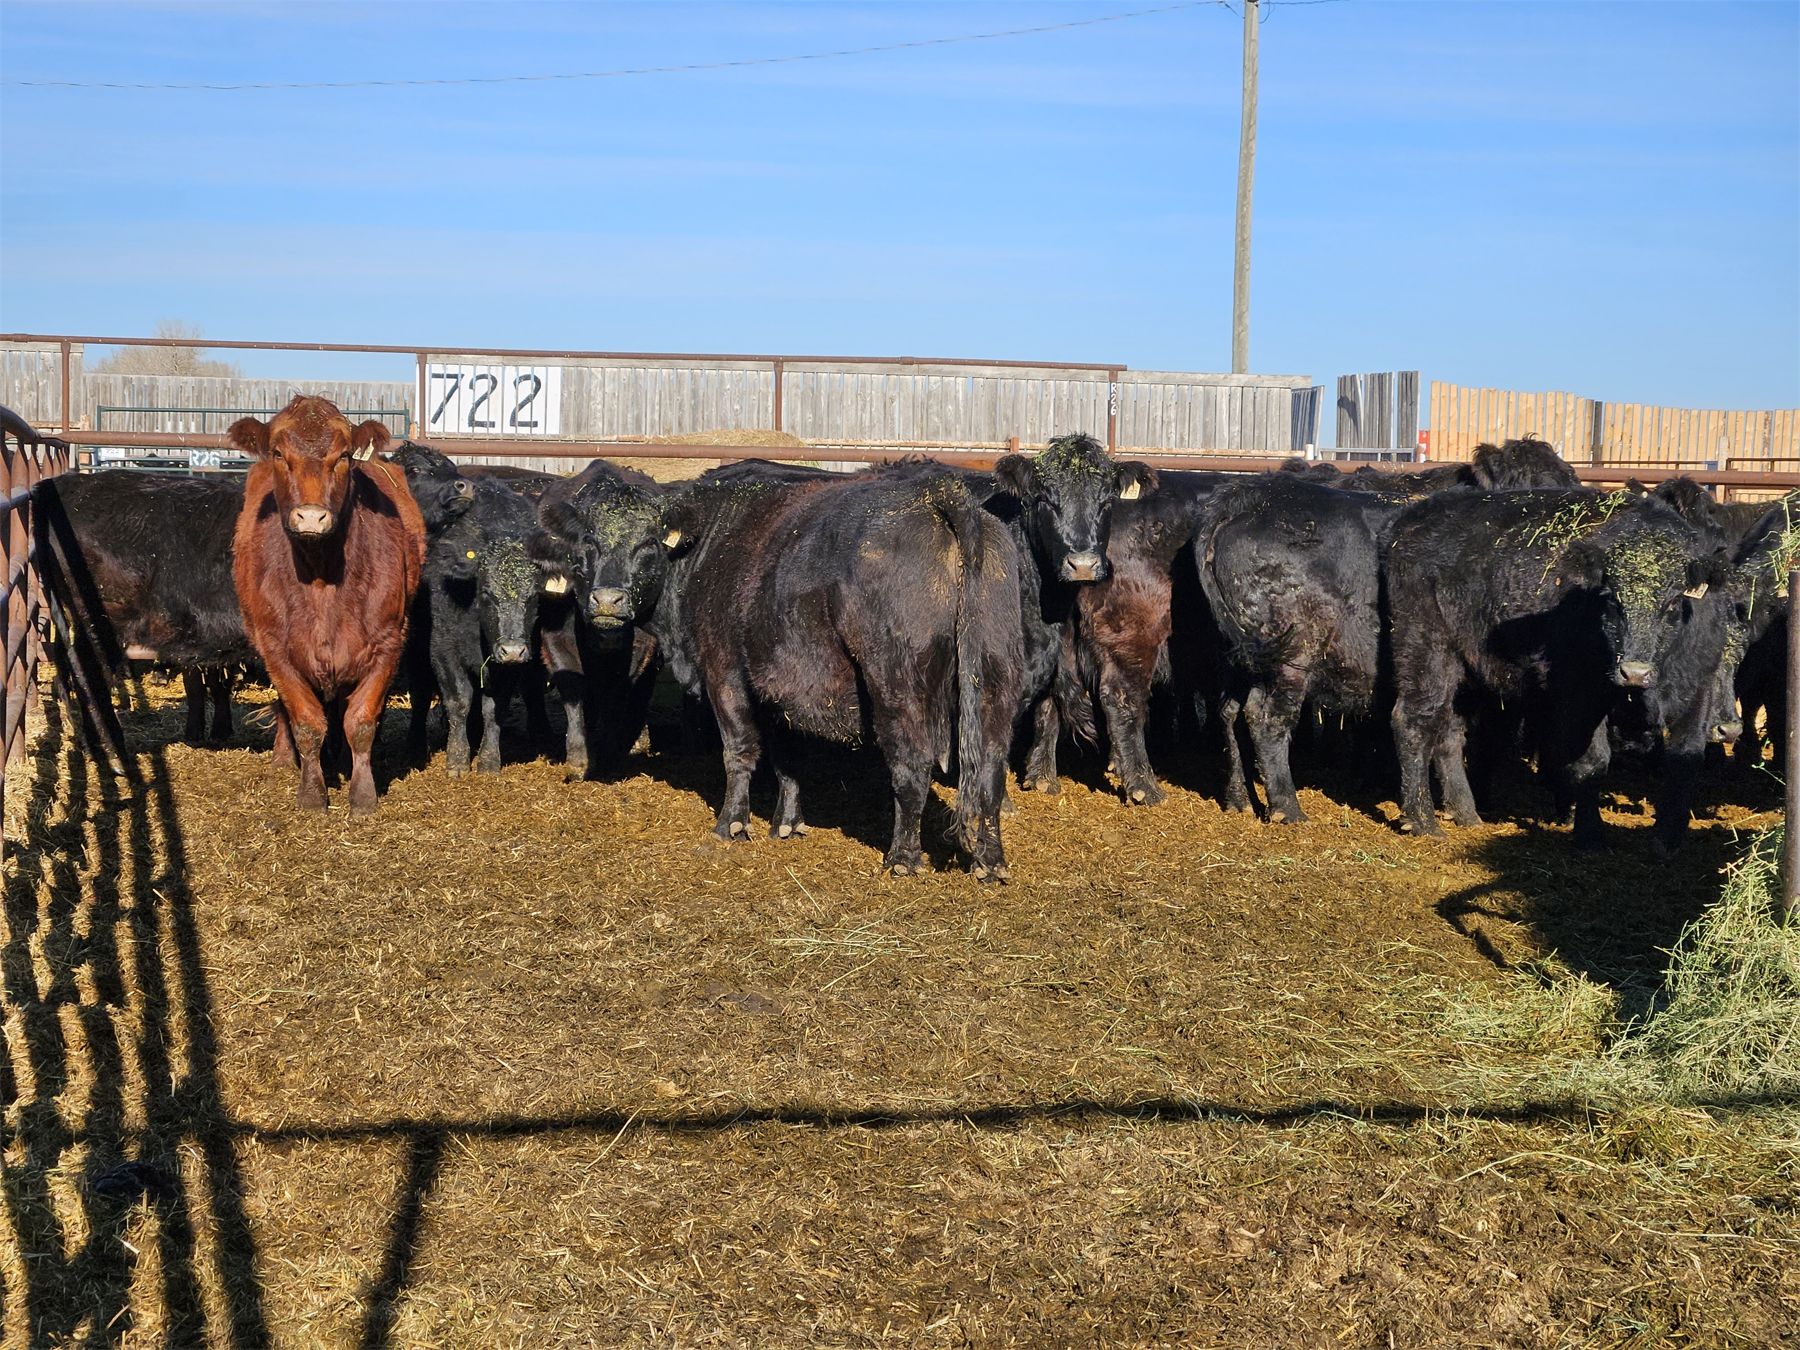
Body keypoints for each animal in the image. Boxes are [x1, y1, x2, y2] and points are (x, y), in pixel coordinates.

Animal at [229, 396, 426, 816]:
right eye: (278, 453)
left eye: (344, 456)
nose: (311, 516)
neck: (321, 579)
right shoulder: (275, 648)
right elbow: (306, 721)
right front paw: (312, 794)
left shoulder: (388, 641)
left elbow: (362, 720)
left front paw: (363, 794)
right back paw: (285, 757)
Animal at [657, 463, 1024, 878]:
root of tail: (939, 496)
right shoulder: (780, 693)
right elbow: (787, 758)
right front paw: (787, 823)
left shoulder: (724, 671)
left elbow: (738, 750)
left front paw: (730, 825)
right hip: (994, 676)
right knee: (990, 772)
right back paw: (990, 863)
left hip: (898, 685)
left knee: (911, 768)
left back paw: (902, 859)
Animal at [1387, 488, 1732, 852]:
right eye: (1612, 601)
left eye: (1673, 603)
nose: (1634, 672)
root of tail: (1415, 517)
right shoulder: (1580, 694)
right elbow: (1593, 763)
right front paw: (1589, 834)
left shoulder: (1698, 687)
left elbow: (1686, 759)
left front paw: (1669, 839)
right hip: (1425, 650)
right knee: (1413, 721)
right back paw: (1422, 820)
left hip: (1466, 670)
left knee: (1450, 734)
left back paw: (1467, 814)